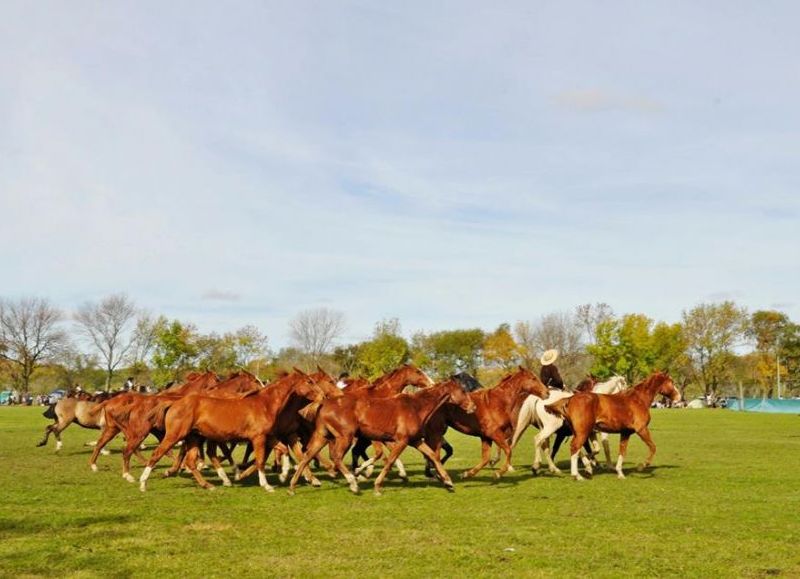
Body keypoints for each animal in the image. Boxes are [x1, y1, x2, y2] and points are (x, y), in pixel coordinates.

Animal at [290, 378, 472, 496]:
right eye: (463, 391)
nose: (473, 406)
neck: (416, 407)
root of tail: (325, 403)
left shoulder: (415, 441)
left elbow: (433, 455)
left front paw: (448, 482)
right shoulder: (402, 441)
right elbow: (390, 461)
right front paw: (377, 487)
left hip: (323, 436)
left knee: (307, 456)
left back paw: (293, 487)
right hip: (345, 437)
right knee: (336, 457)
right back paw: (353, 483)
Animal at [424, 370, 552, 478]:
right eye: (533, 378)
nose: (547, 393)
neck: (499, 402)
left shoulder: (486, 437)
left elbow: (486, 458)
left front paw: (467, 474)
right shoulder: (494, 433)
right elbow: (508, 450)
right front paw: (499, 473)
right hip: (437, 432)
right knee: (434, 452)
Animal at [552, 372, 680, 480]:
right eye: (672, 382)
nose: (678, 398)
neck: (638, 400)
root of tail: (570, 399)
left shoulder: (625, 433)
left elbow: (622, 451)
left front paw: (619, 473)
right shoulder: (641, 429)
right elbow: (653, 447)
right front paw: (642, 466)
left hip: (579, 432)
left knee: (576, 448)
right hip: (582, 432)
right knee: (574, 447)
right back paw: (577, 474)